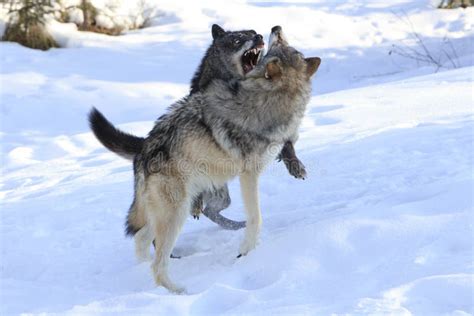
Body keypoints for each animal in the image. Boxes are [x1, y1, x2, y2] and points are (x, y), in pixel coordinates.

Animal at [88, 25, 322, 292]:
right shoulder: (248, 175)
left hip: (175, 209)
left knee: (141, 240)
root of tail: (143, 153)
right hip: (177, 212)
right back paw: (177, 291)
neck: (269, 97)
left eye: (286, 45)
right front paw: (246, 250)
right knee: (156, 262)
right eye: (278, 44)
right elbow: (256, 217)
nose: (274, 28)